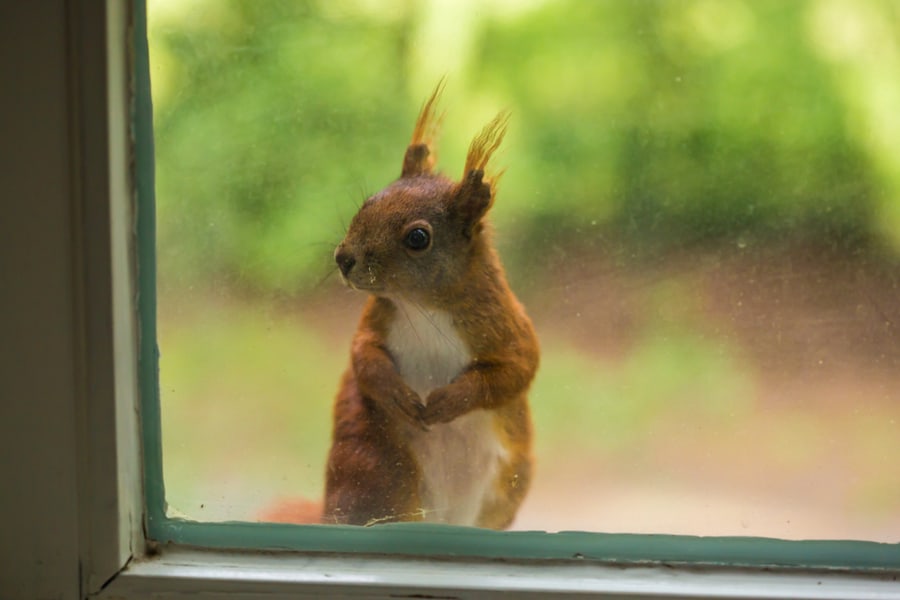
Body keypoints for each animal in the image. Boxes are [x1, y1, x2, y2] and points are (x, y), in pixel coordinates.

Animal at [326, 85, 540, 528]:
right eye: (366, 203)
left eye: (418, 238)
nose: (343, 258)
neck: (421, 306)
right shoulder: (377, 318)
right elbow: (363, 356)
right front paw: (398, 396)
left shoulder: (504, 324)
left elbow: (516, 370)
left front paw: (448, 401)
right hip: (379, 466)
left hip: (505, 483)